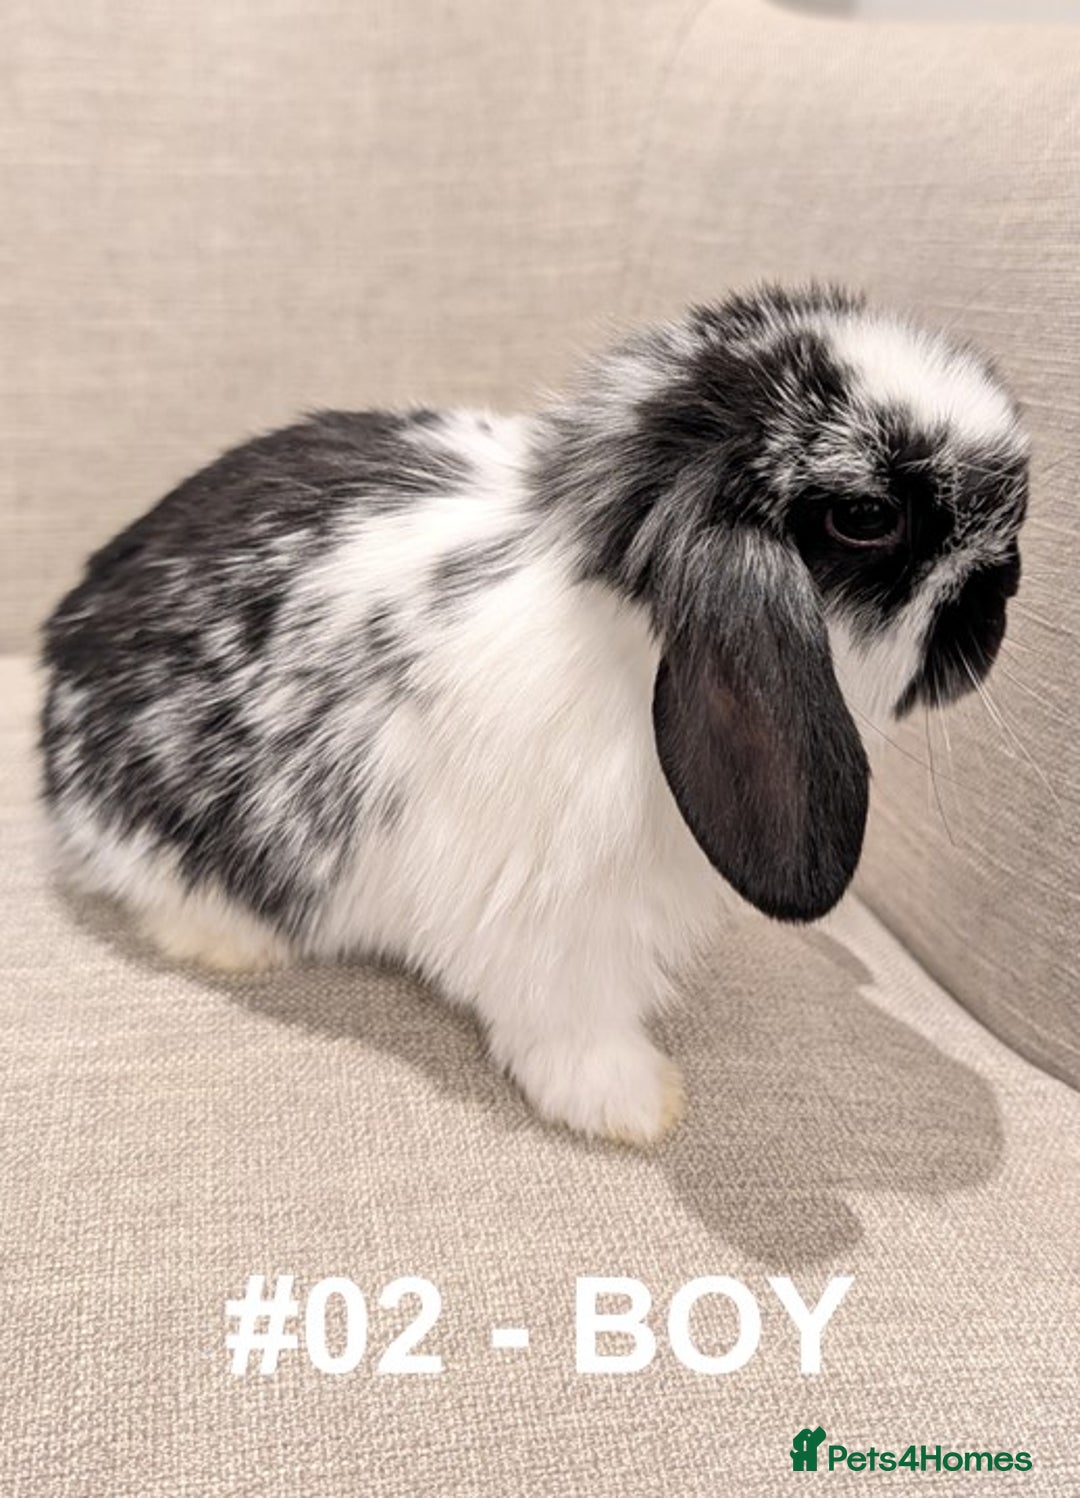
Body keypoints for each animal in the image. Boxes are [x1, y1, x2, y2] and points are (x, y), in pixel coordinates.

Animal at [41, 284, 1029, 1145]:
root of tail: (60, 649)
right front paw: (637, 1105)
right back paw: (229, 942)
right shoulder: (551, 923)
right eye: (867, 516)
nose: (1005, 590)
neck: (627, 622)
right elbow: (571, 1025)